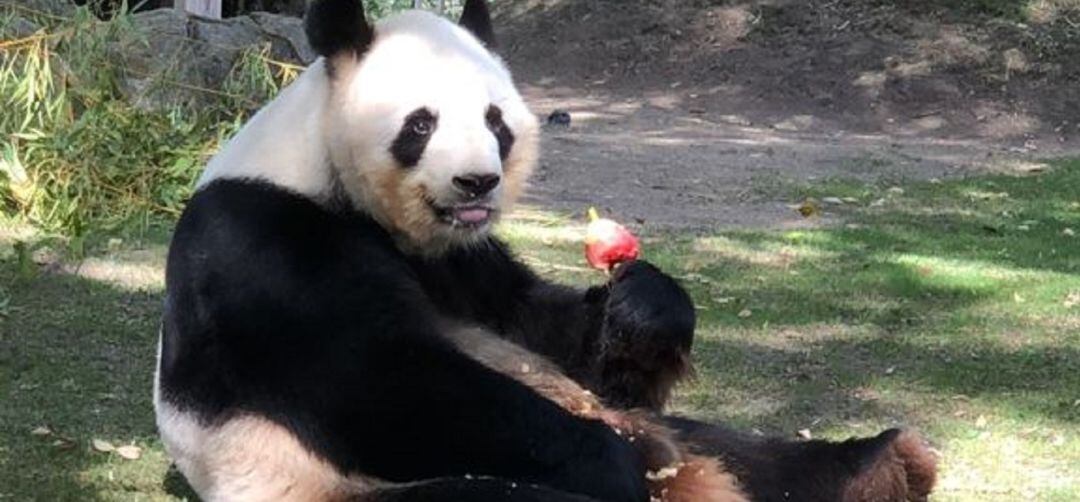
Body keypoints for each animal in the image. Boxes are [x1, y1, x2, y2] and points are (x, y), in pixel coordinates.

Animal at [156, 0, 941, 498]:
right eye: (420, 124)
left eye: (495, 121)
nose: (477, 181)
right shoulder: (265, 242)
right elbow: (381, 383)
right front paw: (608, 463)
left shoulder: (462, 260)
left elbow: (548, 330)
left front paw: (644, 304)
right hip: (329, 486)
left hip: (694, 437)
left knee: (752, 453)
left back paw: (889, 467)